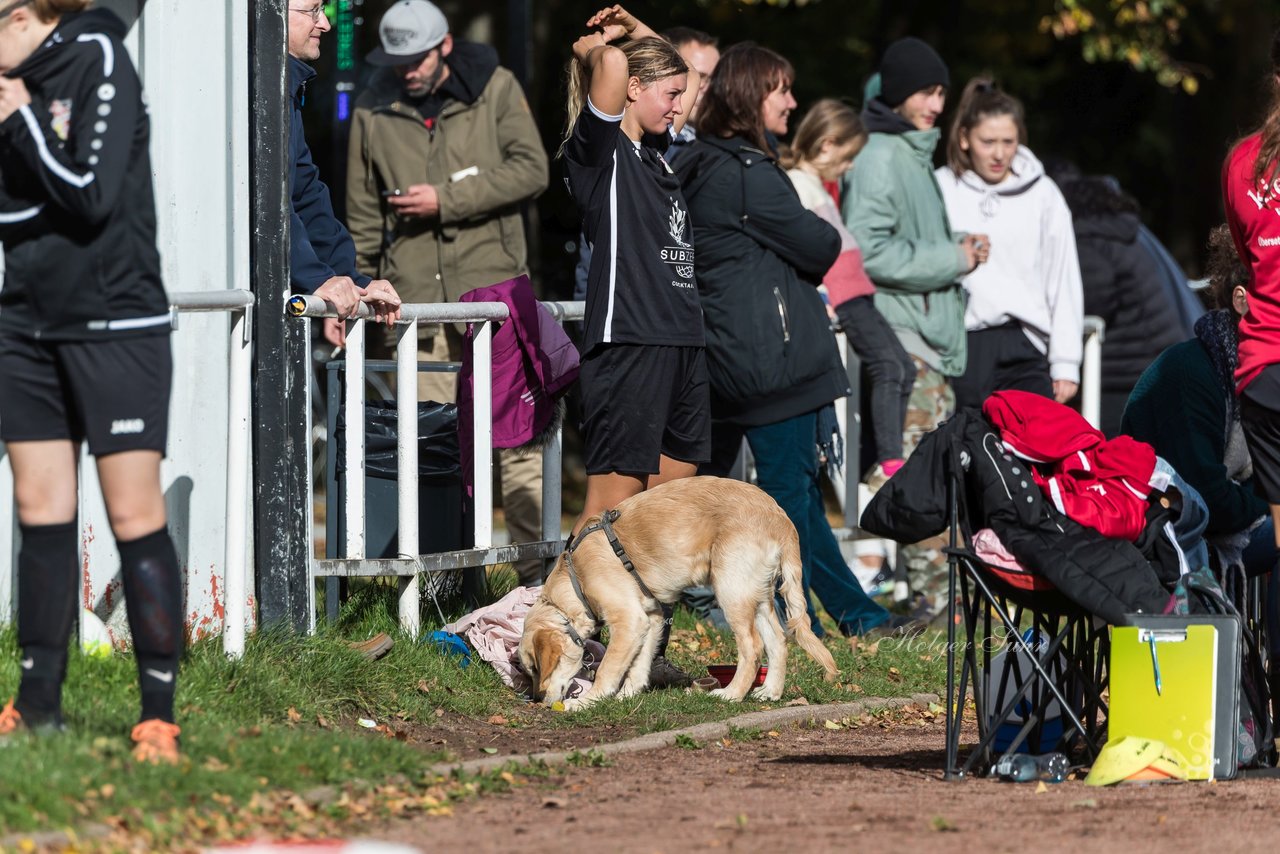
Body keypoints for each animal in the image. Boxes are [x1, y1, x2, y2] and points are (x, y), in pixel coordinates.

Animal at [519, 478, 839, 711]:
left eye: (535, 667)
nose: (538, 699)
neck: (577, 578)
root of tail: (780, 517)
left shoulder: (629, 621)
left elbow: (609, 668)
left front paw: (588, 700)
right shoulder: (651, 618)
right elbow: (638, 665)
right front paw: (627, 695)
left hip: (731, 589)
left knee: (752, 646)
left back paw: (732, 694)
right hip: (756, 594)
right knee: (779, 640)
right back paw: (770, 691)